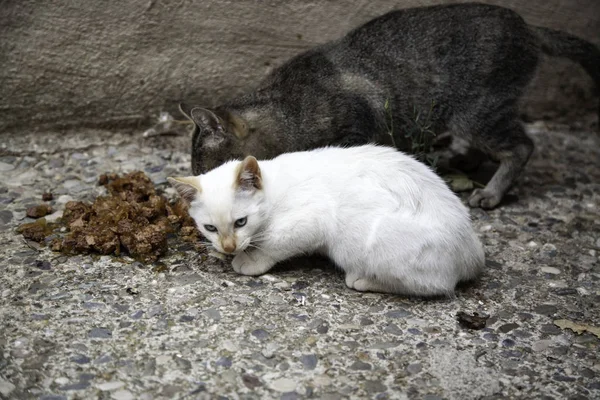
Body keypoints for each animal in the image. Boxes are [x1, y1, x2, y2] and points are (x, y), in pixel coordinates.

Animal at [168, 145, 482, 296]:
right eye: (210, 228)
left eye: (241, 222)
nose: (229, 247)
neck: (275, 188)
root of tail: (473, 253)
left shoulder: (312, 218)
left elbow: (274, 241)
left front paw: (251, 259)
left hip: (367, 240)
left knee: (435, 286)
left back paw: (364, 279)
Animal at [180, 1, 596, 209]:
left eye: (209, 171)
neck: (288, 108)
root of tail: (529, 27)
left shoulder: (357, 129)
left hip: (477, 112)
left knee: (522, 145)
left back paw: (492, 192)